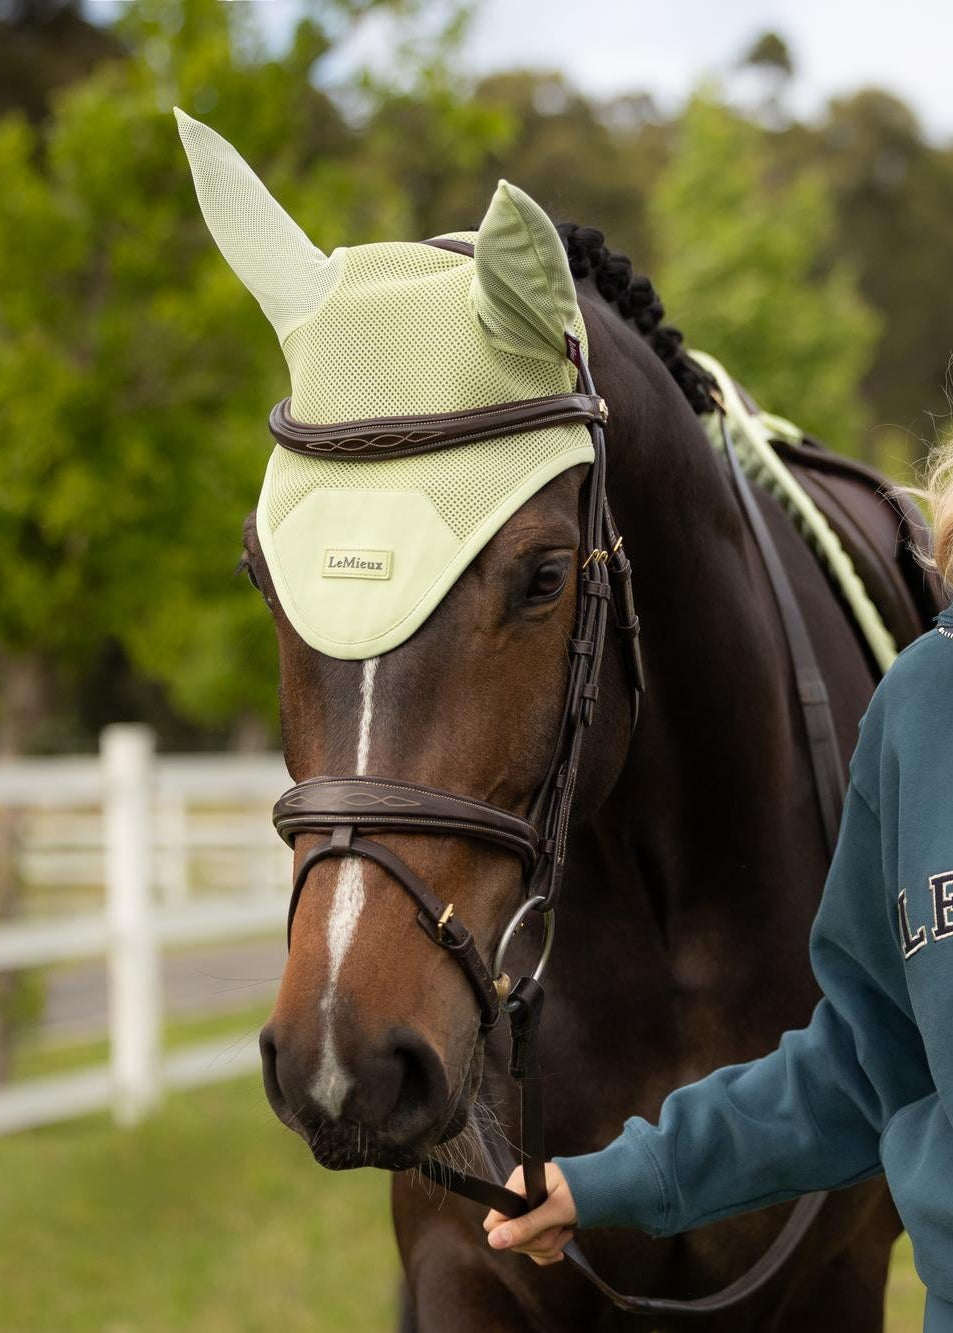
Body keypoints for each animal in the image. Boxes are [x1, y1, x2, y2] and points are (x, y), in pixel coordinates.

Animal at [176, 111, 918, 1330]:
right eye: (257, 572)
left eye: (543, 576)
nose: (343, 1055)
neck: (663, 920)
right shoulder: (461, 1266)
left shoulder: (836, 1276)